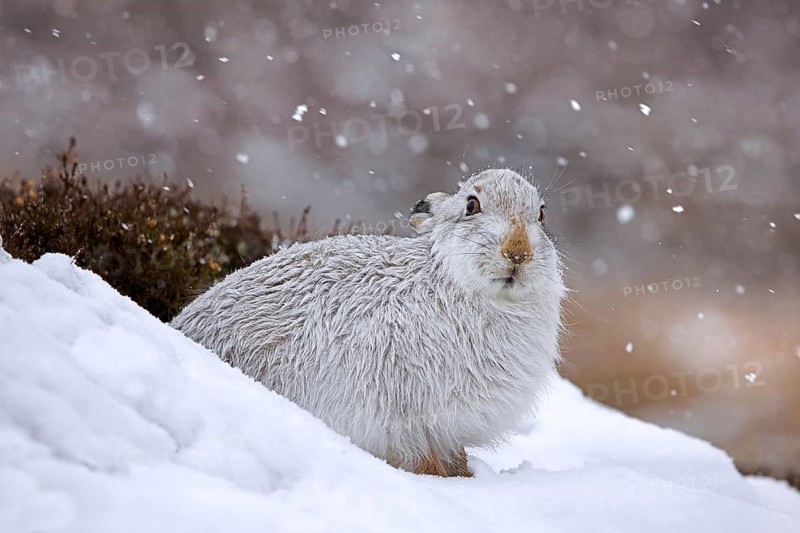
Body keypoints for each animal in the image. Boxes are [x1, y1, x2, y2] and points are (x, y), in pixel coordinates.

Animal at [171, 168, 565, 477]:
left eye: (542, 214)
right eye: (471, 205)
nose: (518, 253)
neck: (450, 280)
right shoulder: (409, 416)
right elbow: (425, 460)